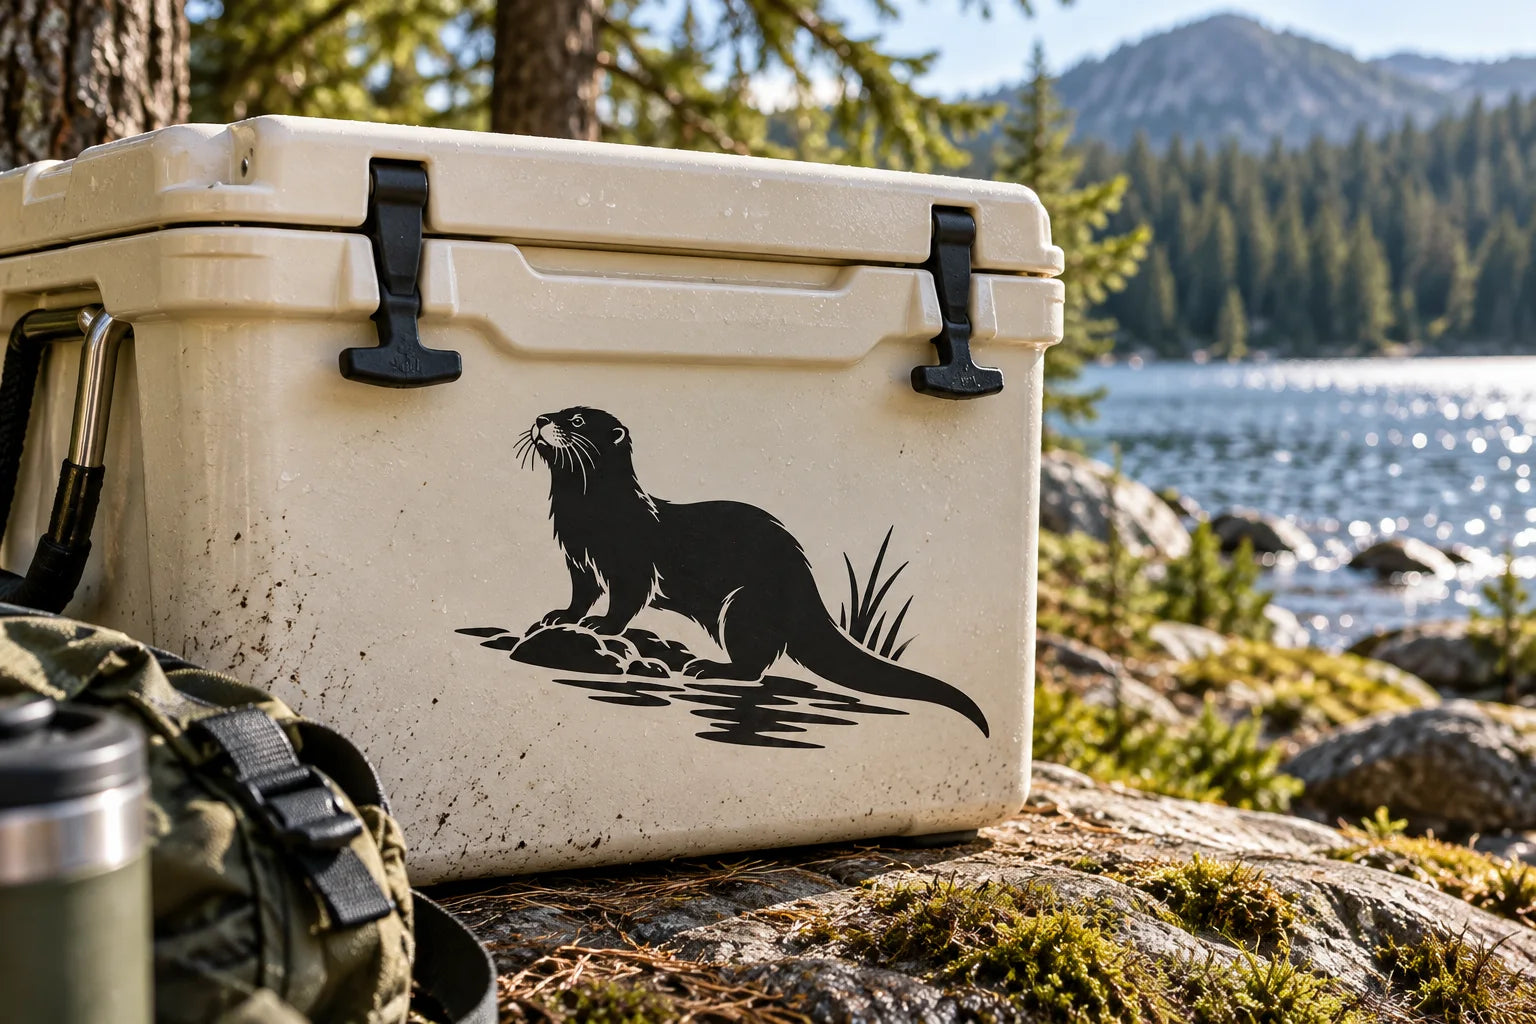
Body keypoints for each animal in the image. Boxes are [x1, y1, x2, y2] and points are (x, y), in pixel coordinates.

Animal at [516, 406, 990, 736]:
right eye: (558, 408)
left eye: (576, 419)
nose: (540, 419)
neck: (592, 519)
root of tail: (805, 585)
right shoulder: (579, 559)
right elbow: (581, 594)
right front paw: (560, 617)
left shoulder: (631, 560)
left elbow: (626, 600)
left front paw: (601, 626)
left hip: (745, 604)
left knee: (754, 663)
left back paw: (709, 667)